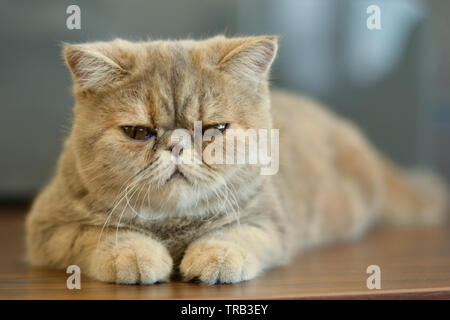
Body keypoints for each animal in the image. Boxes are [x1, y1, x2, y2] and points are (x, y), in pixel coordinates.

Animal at [24, 35, 446, 284]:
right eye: (139, 133)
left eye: (214, 128)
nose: (177, 146)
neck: (173, 225)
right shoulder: (49, 229)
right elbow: (103, 235)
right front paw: (134, 253)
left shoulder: (269, 223)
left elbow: (234, 235)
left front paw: (215, 256)